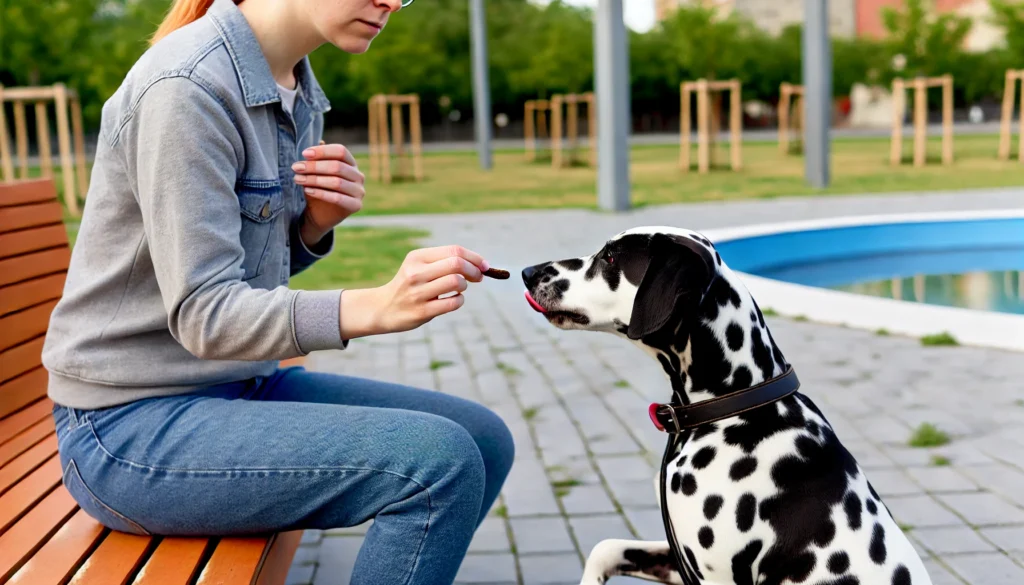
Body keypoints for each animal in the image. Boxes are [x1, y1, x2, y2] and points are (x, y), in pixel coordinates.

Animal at [524, 227, 933, 585]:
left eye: (610, 257)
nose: (529, 273)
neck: (734, 404)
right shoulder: (681, 558)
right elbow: (605, 548)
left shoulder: (716, 574)